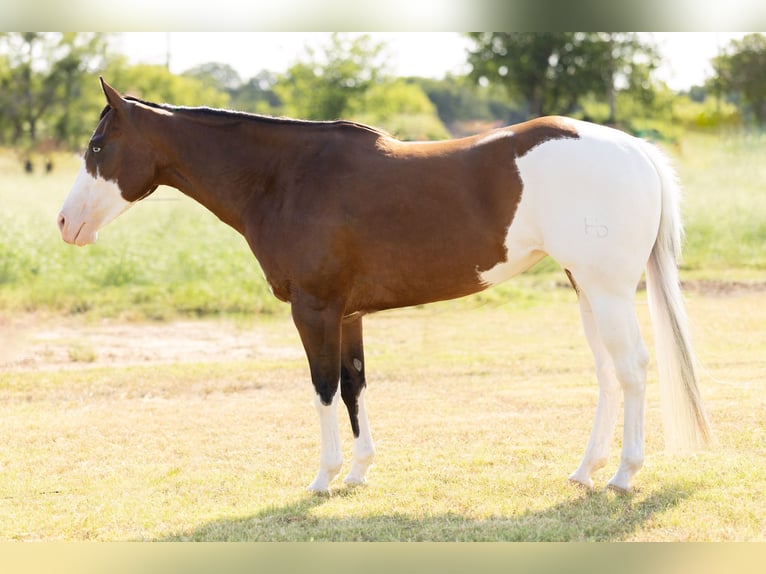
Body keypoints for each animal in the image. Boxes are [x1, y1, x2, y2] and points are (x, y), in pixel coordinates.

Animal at [58, 78, 711, 494]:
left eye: (98, 146)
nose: (65, 223)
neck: (286, 178)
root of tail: (635, 148)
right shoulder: (347, 315)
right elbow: (354, 386)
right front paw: (358, 472)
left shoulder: (314, 310)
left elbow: (323, 388)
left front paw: (323, 479)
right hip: (586, 291)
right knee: (607, 374)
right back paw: (586, 471)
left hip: (607, 291)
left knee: (632, 370)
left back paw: (624, 475)